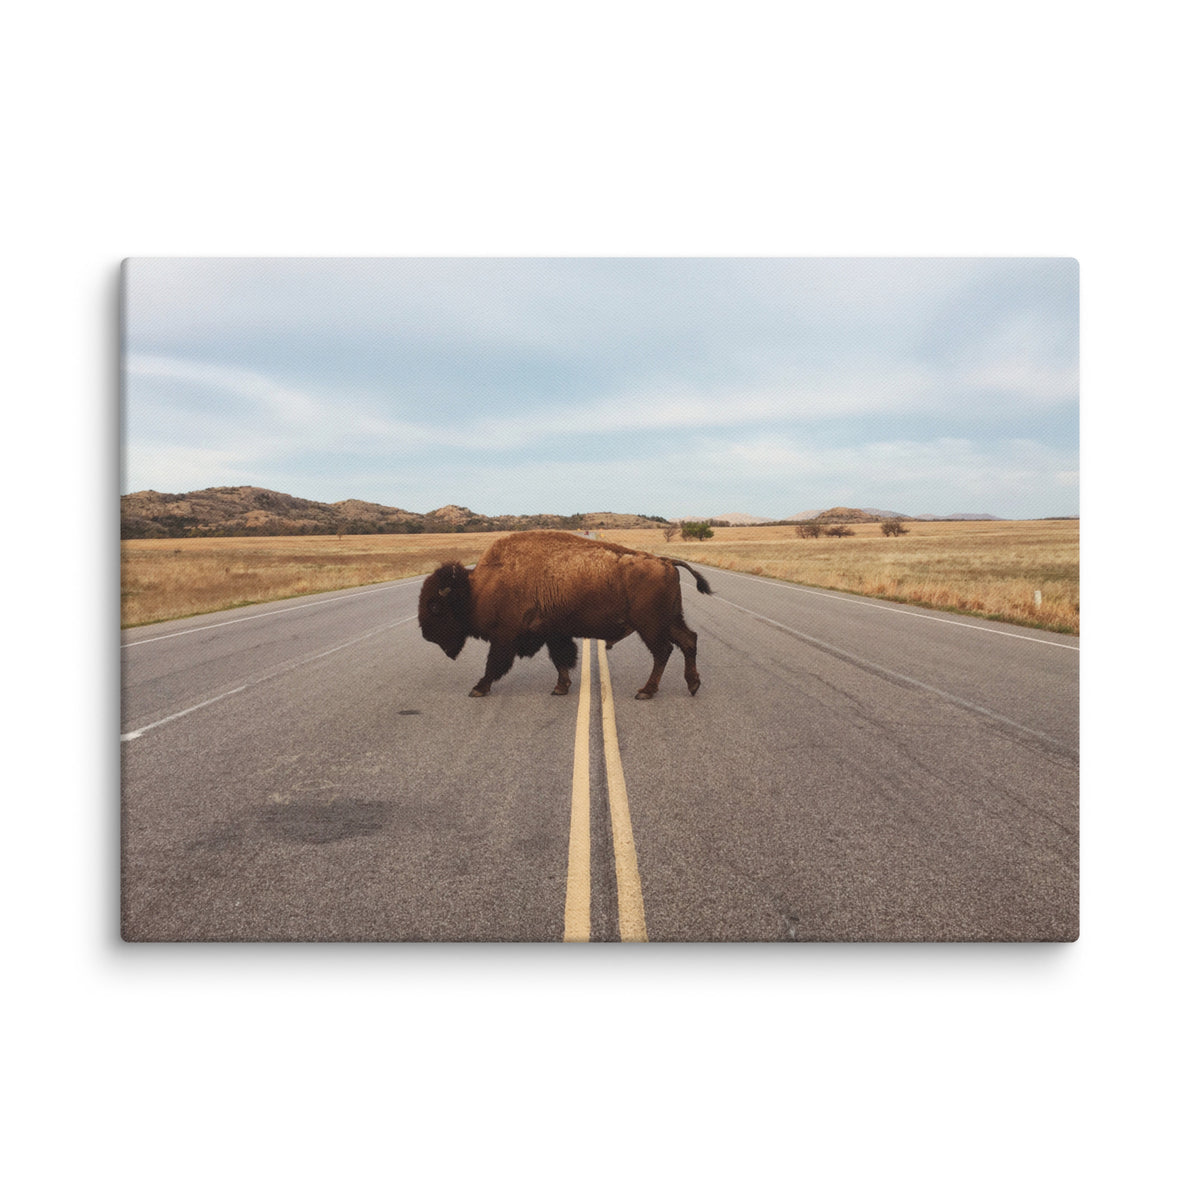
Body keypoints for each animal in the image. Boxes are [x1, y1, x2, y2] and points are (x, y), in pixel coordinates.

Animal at [417, 530, 713, 699]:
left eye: (435, 606)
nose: (426, 635)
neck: (478, 587)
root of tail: (666, 561)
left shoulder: (505, 637)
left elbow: (494, 665)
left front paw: (478, 688)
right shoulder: (553, 633)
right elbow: (560, 660)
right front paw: (561, 687)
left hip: (650, 626)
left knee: (663, 651)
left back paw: (646, 692)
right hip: (669, 620)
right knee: (688, 641)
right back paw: (693, 685)